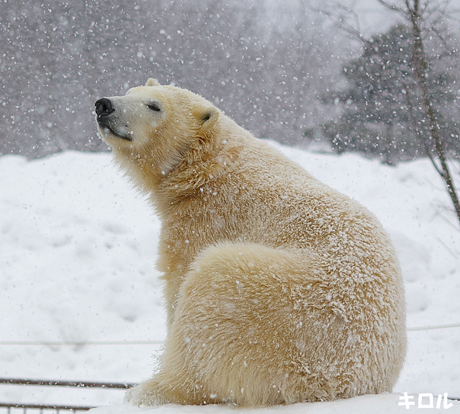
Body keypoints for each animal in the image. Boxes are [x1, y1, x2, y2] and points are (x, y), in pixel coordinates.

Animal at [95, 78, 404, 408]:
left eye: (155, 106)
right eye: (129, 92)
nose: (104, 105)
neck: (207, 167)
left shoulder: (204, 221)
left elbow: (178, 285)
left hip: (282, 310)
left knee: (209, 297)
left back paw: (150, 390)